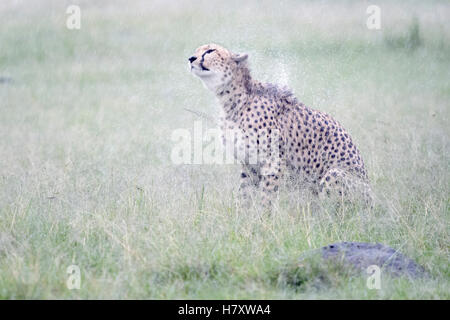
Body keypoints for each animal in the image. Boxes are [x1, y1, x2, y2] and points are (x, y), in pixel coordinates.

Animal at [188, 43, 370, 206]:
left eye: (210, 51)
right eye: (197, 50)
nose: (191, 58)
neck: (233, 99)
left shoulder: (274, 162)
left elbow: (266, 197)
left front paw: (262, 219)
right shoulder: (249, 164)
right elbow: (244, 195)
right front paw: (240, 217)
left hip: (335, 174)